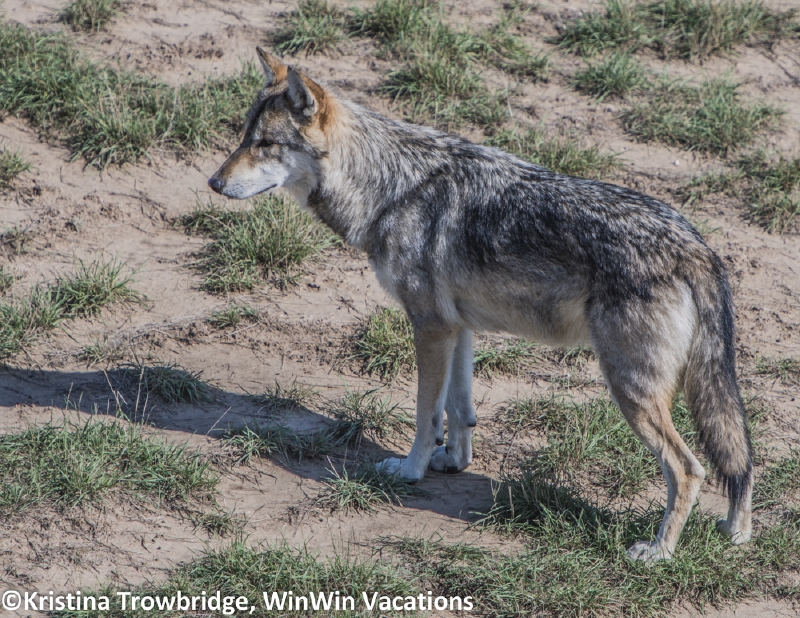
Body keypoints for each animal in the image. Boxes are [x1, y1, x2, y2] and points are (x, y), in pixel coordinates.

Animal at [208, 47, 754, 562]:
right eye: (244, 136)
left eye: (265, 144)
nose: (213, 183)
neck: (389, 187)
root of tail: (697, 247)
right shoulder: (457, 328)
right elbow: (458, 406)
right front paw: (454, 461)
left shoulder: (428, 327)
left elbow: (425, 414)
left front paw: (410, 471)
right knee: (739, 462)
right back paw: (736, 534)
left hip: (630, 389)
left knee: (689, 468)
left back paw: (658, 552)